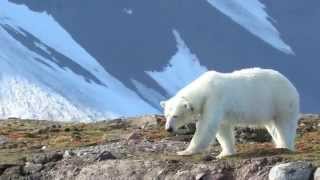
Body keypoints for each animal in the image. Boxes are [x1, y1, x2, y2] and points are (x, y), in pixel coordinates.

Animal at [162, 67, 300, 158]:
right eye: (166, 116)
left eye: (175, 116)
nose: (168, 129)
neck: (204, 88)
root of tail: (291, 85)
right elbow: (223, 129)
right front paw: (225, 153)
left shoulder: (214, 99)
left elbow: (207, 125)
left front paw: (185, 151)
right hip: (271, 109)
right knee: (273, 127)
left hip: (281, 102)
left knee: (284, 126)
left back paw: (285, 146)